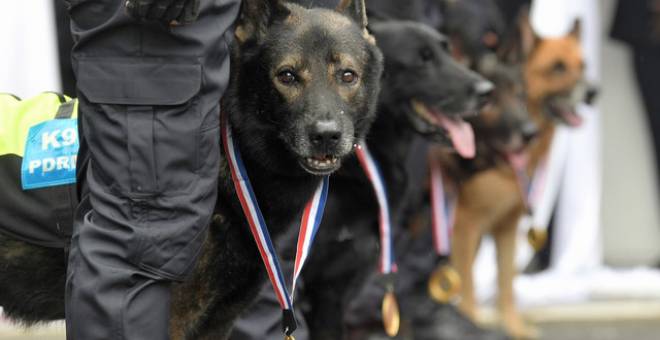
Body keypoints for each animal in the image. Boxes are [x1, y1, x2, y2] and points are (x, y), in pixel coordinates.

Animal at [0, 1, 382, 338]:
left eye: (347, 76)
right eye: (287, 76)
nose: (326, 135)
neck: (231, 147)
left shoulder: (219, 319)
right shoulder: (175, 316)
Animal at [448, 13, 584, 340]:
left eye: (520, 95)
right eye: (558, 67)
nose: (528, 133)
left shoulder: (506, 227)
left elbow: (505, 282)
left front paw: (512, 326)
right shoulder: (464, 225)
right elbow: (468, 283)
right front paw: (471, 320)